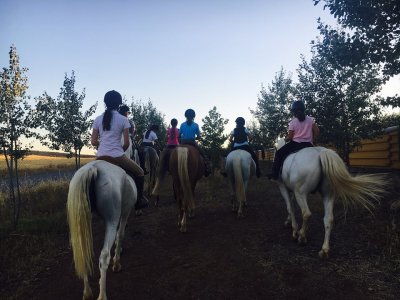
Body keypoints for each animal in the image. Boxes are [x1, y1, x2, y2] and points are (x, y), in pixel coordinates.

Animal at [67, 161, 138, 300]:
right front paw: (117, 262)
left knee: (83, 253)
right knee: (104, 256)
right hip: (112, 220)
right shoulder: (125, 213)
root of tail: (93, 168)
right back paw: (102, 295)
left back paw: (87, 292)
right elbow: (120, 235)